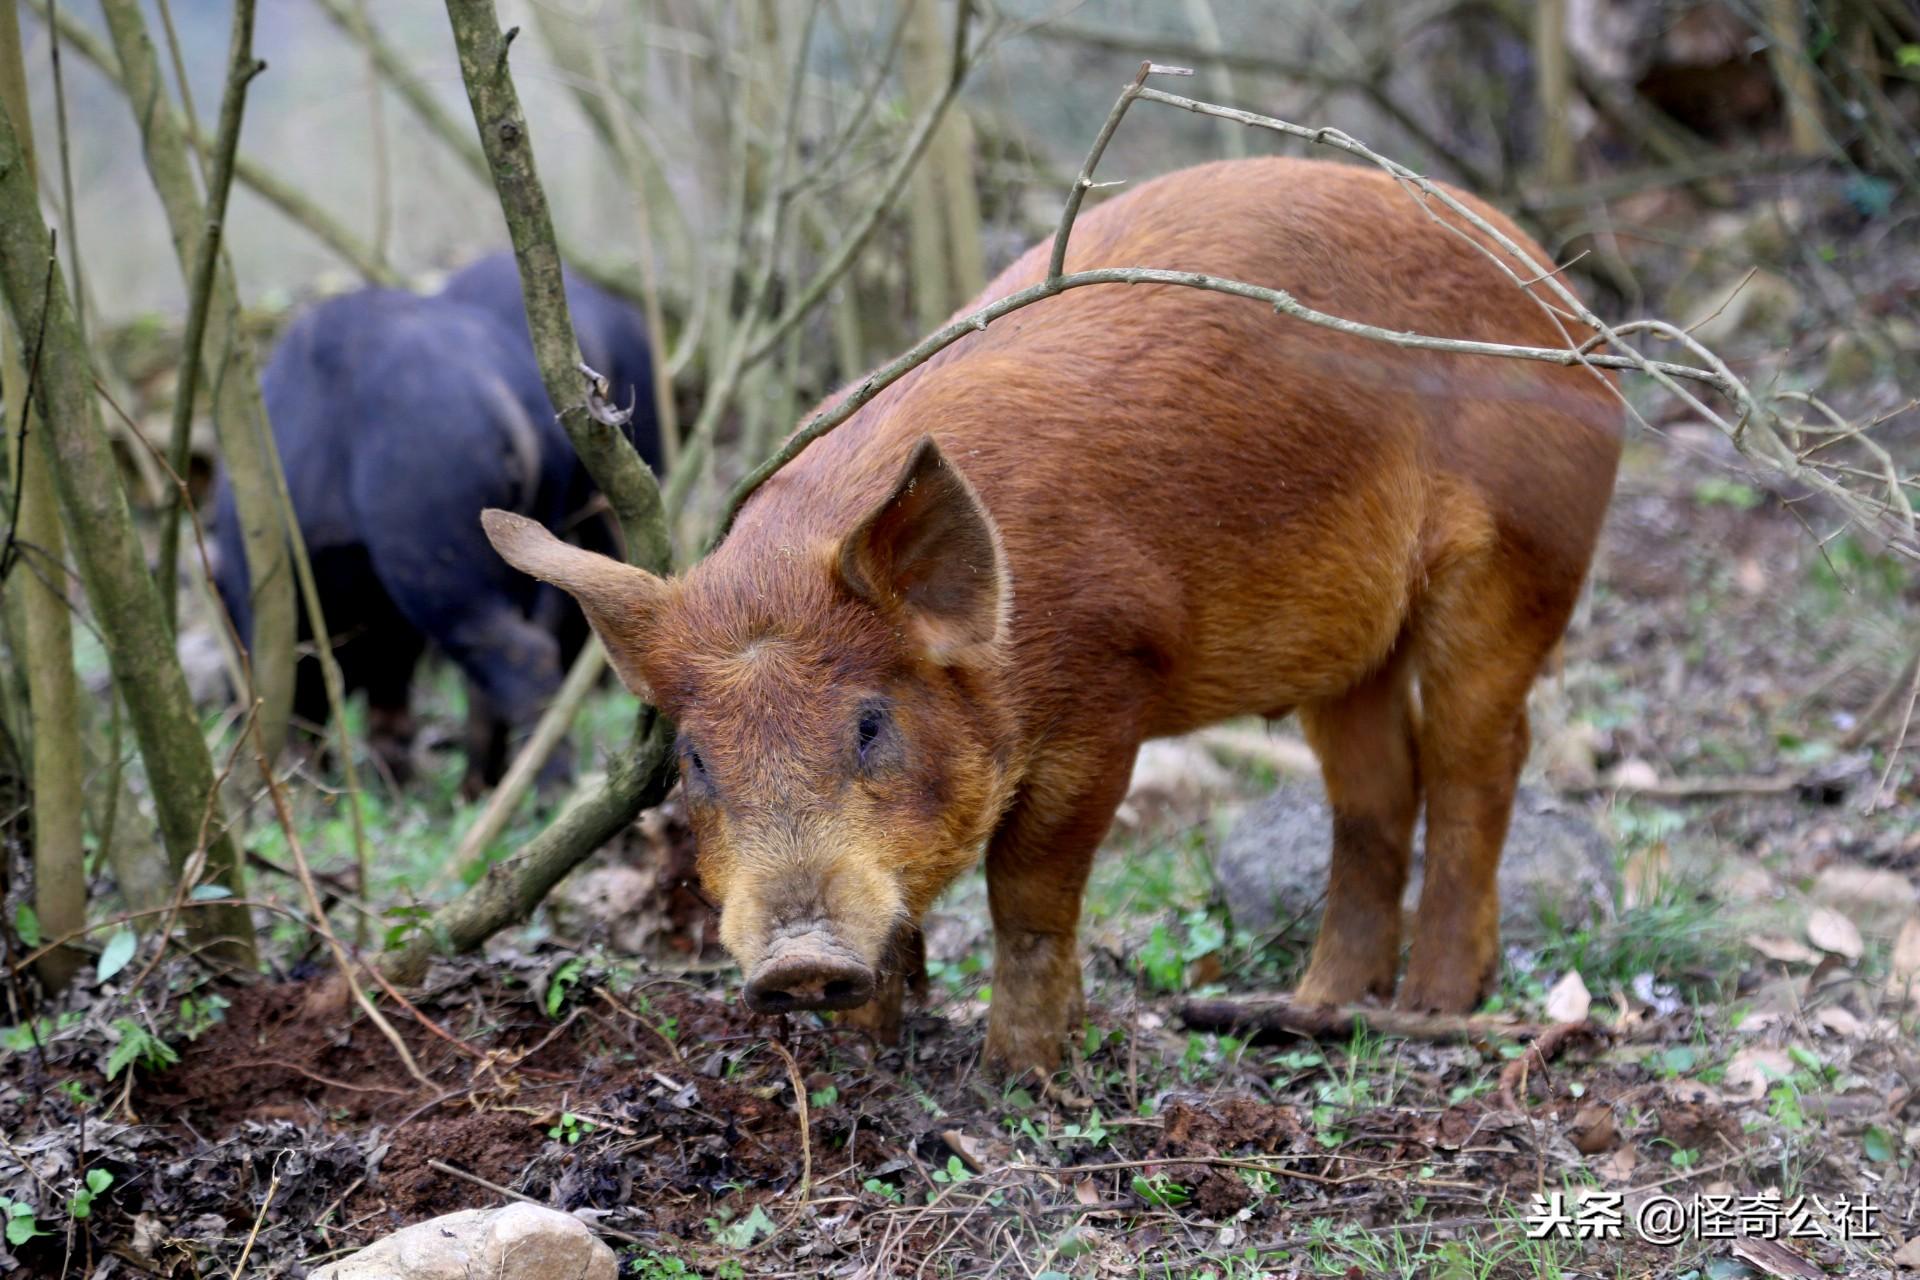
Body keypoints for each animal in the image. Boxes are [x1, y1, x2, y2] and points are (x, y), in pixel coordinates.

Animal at [480, 160, 1620, 1082]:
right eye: (696, 761)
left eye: (870, 724)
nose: (800, 960)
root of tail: (1572, 303)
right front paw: (870, 1053)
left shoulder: (1107, 686)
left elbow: (1027, 893)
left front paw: (1018, 1077)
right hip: (1350, 655)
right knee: (1378, 792)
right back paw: (1318, 1003)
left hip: (1521, 562)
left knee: (1477, 764)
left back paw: (1435, 1005)